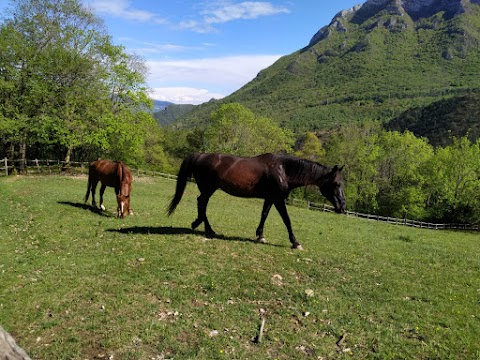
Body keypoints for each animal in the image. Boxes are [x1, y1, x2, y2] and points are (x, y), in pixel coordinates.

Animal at [168, 153, 344, 250]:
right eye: (337, 183)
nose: (342, 207)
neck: (283, 170)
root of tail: (200, 155)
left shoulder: (270, 198)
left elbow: (264, 214)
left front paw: (260, 235)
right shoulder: (278, 199)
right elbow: (287, 220)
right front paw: (295, 242)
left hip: (208, 189)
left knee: (201, 203)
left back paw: (200, 225)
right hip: (208, 189)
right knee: (202, 203)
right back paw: (207, 229)